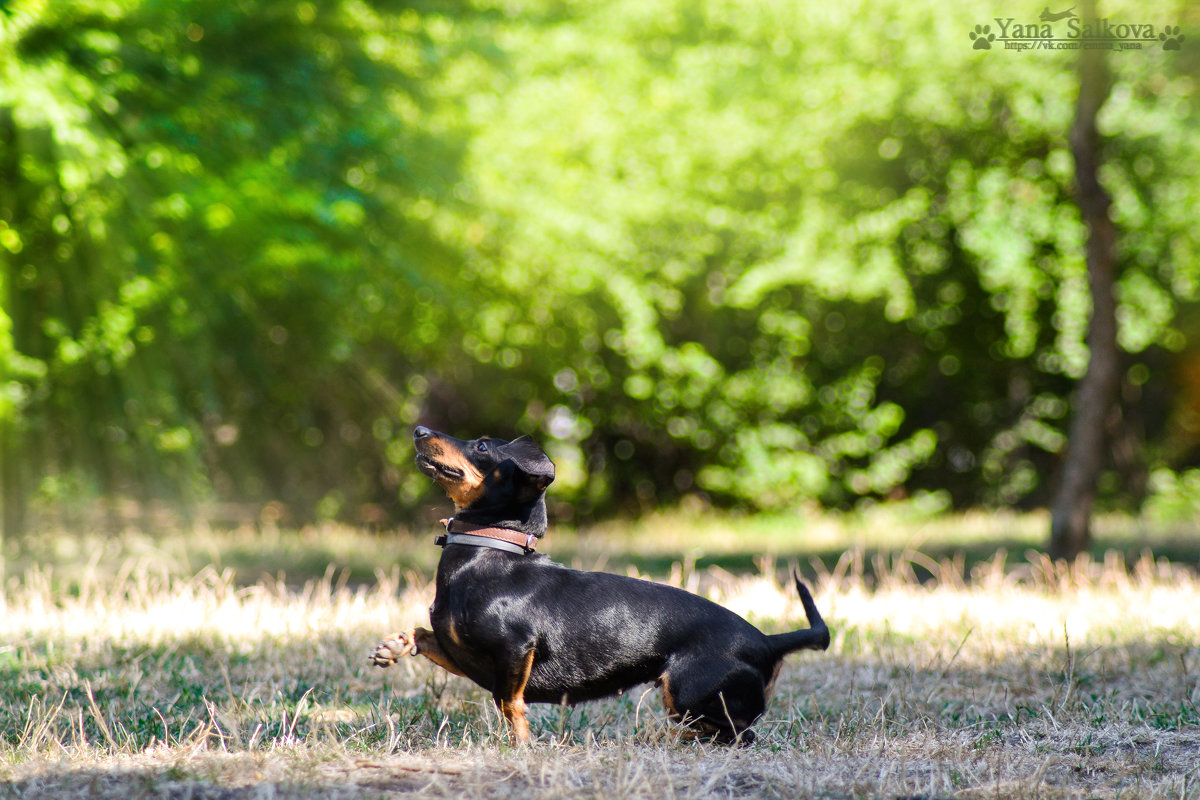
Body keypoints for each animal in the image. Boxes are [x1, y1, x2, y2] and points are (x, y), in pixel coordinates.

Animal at [369, 429, 830, 748]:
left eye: (481, 446)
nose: (420, 429)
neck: (488, 551)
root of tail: (767, 640)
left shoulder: (515, 650)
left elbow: (509, 703)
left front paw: (522, 745)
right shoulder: (463, 653)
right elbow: (422, 633)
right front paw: (393, 646)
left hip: (687, 691)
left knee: (736, 737)